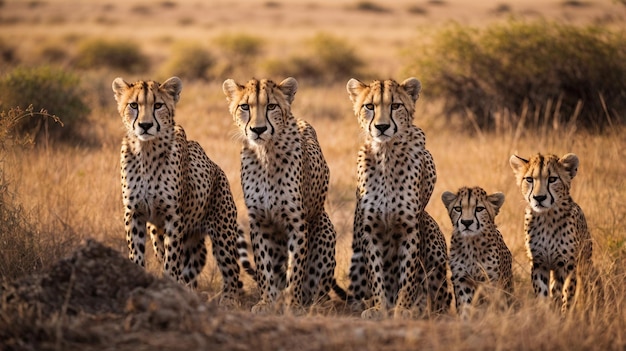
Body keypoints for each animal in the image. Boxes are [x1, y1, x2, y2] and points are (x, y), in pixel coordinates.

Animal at [112, 77, 249, 308]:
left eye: (158, 105)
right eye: (133, 105)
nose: (145, 125)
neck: (146, 150)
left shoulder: (172, 217)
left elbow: (172, 259)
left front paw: (169, 288)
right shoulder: (134, 214)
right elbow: (137, 253)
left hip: (222, 235)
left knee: (231, 272)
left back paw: (228, 301)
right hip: (174, 238)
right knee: (189, 271)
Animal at [221, 76, 336, 314]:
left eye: (271, 106)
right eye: (244, 106)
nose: (258, 129)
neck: (265, 153)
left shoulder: (297, 223)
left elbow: (296, 268)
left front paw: (292, 304)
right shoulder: (259, 221)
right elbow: (264, 267)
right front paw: (266, 302)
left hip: (324, 227)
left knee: (319, 287)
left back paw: (318, 304)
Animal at [342, 78, 448, 320]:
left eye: (396, 106)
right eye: (369, 106)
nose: (382, 127)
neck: (386, 153)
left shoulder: (410, 228)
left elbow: (408, 274)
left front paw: (403, 309)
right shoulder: (369, 229)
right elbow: (376, 273)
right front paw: (380, 308)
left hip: (430, 229)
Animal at [438, 186, 512, 314]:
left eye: (479, 209)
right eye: (458, 208)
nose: (466, 222)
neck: (471, 245)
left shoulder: (490, 280)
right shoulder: (462, 279)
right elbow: (465, 306)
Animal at [508, 153, 596, 312]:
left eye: (552, 179)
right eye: (529, 179)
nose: (539, 198)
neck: (547, 217)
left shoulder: (567, 265)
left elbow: (566, 293)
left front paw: (565, 314)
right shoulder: (539, 263)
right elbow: (543, 292)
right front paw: (545, 313)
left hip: (584, 264)